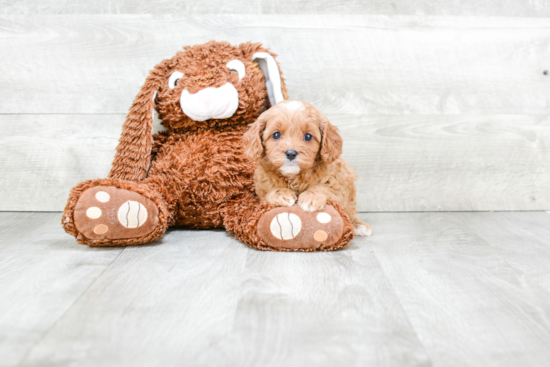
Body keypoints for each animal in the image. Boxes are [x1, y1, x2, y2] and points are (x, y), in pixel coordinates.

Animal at [244, 100, 374, 237]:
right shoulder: (262, 190)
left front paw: (311, 198)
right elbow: (269, 191)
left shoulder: (339, 186)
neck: (295, 176)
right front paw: (281, 194)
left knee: (350, 211)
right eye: (276, 134)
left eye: (308, 136)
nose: (291, 153)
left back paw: (359, 225)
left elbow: (325, 188)